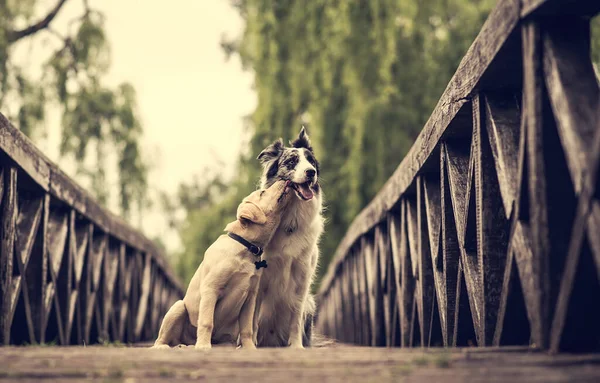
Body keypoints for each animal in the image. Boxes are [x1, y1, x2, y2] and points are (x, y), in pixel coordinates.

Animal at [150, 181, 290, 352]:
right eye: (262, 192)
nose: (284, 179)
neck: (245, 247)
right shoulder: (211, 289)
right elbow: (206, 322)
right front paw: (203, 346)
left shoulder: (250, 298)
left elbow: (247, 329)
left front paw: (249, 348)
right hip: (178, 307)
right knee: (161, 339)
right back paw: (171, 347)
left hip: (226, 339)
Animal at [252, 127, 324, 348]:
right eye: (292, 162)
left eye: (311, 162)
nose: (311, 172)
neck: (289, 222)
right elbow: (252, 317)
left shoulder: (302, 275)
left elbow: (295, 317)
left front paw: (296, 346)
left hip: (310, 303)